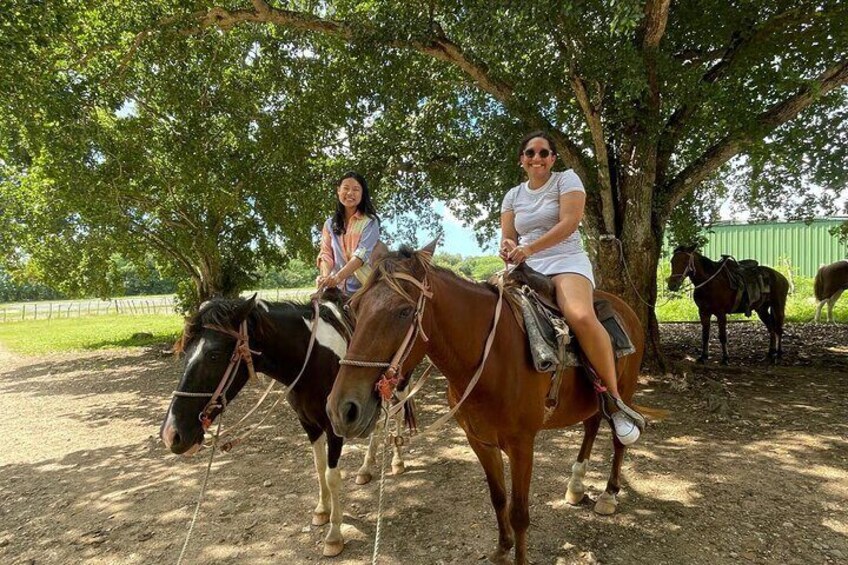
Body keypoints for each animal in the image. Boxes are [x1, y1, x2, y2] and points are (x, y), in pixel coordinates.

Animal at [161, 294, 410, 556]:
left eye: (214, 355)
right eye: (185, 351)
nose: (171, 434)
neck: (311, 360)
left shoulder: (335, 426)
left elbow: (332, 475)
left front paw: (334, 535)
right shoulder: (309, 424)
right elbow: (319, 467)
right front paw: (322, 510)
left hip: (399, 384)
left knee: (398, 414)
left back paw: (397, 461)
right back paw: (366, 468)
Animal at [324, 242, 648, 564]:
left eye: (404, 312)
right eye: (353, 308)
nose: (342, 410)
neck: (490, 359)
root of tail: (627, 310)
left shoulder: (522, 445)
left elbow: (519, 513)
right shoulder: (479, 441)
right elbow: (498, 498)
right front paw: (502, 549)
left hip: (624, 392)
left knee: (619, 437)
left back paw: (608, 495)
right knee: (591, 425)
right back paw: (576, 486)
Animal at [664, 245, 792, 364]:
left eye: (685, 261)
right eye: (672, 261)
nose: (672, 285)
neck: (710, 282)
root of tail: (782, 277)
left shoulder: (721, 313)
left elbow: (722, 336)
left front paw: (725, 358)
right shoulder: (703, 312)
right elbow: (705, 335)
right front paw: (703, 357)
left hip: (778, 306)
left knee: (778, 329)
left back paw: (778, 355)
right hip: (762, 309)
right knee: (771, 328)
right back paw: (771, 353)